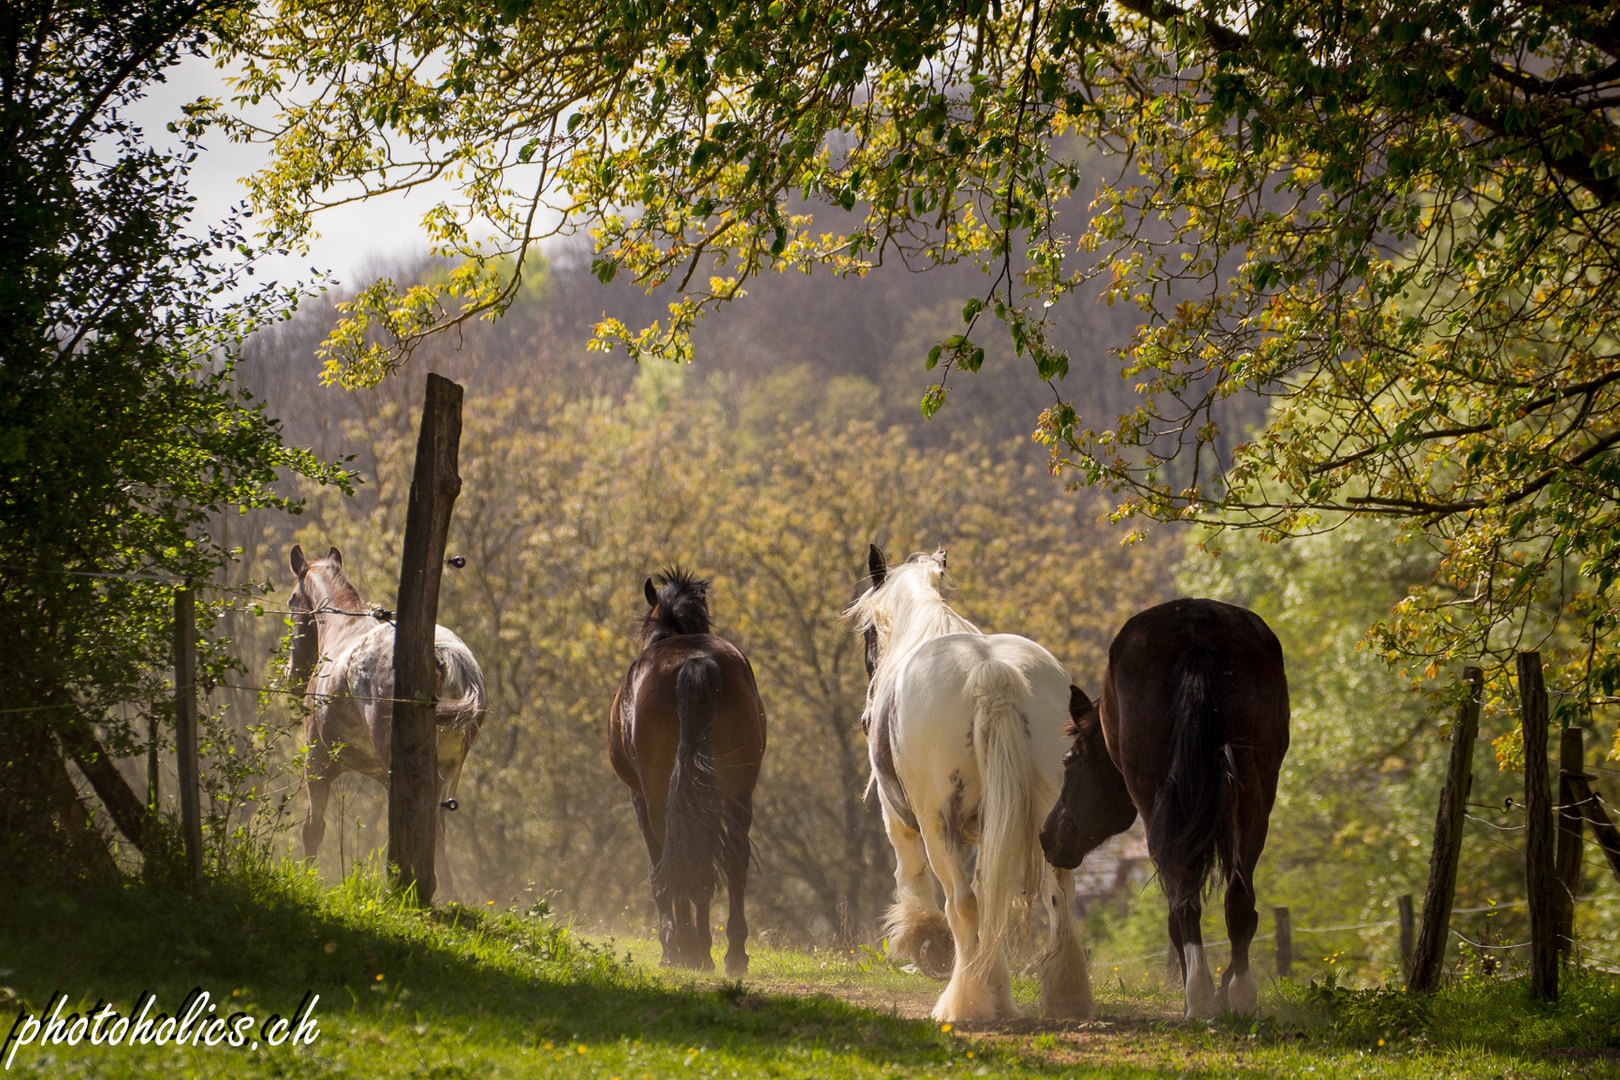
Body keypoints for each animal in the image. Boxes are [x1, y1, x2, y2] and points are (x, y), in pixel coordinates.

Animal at [285, 544, 486, 900]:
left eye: (293, 601)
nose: (291, 674)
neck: (342, 630)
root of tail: (444, 655)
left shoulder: (317, 762)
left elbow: (313, 828)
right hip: (450, 770)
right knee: (437, 823)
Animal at [609, 569, 764, 977]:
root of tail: (696, 661)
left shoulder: (639, 797)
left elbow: (658, 862)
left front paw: (676, 946)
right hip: (737, 790)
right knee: (731, 858)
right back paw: (732, 953)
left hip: (659, 791)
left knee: (676, 854)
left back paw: (687, 949)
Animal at [842, 550, 1095, 1023]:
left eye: (869, 633)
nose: (866, 718)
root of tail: (990, 672)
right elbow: (989, 892)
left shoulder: (897, 817)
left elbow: (913, 877)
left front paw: (922, 936)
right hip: (1048, 817)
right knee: (1057, 894)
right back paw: (1064, 998)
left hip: (937, 823)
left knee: (961, 902)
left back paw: (963, 1002)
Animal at [1036, 599, 1289, 1023]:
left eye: (1069, 761)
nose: (1047, 835)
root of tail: (1197, 628)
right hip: (1255, 792)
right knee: (1238, 898)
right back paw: (1239, 995)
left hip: (1157, 802)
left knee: (1183, 899)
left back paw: (1198, 996)